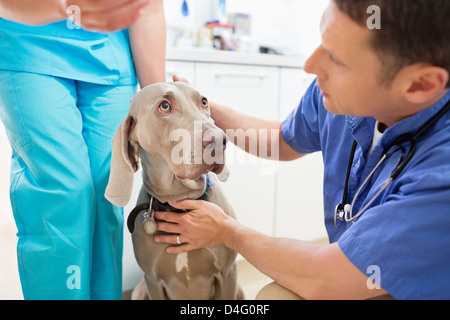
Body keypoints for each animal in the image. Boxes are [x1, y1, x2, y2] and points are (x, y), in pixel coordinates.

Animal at [104, 82, 243, 300]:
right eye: (164, 106)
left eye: (204, 101)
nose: (220, 139)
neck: (178, 200)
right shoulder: (152, 280)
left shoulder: (228, 273)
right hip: (139, 290)